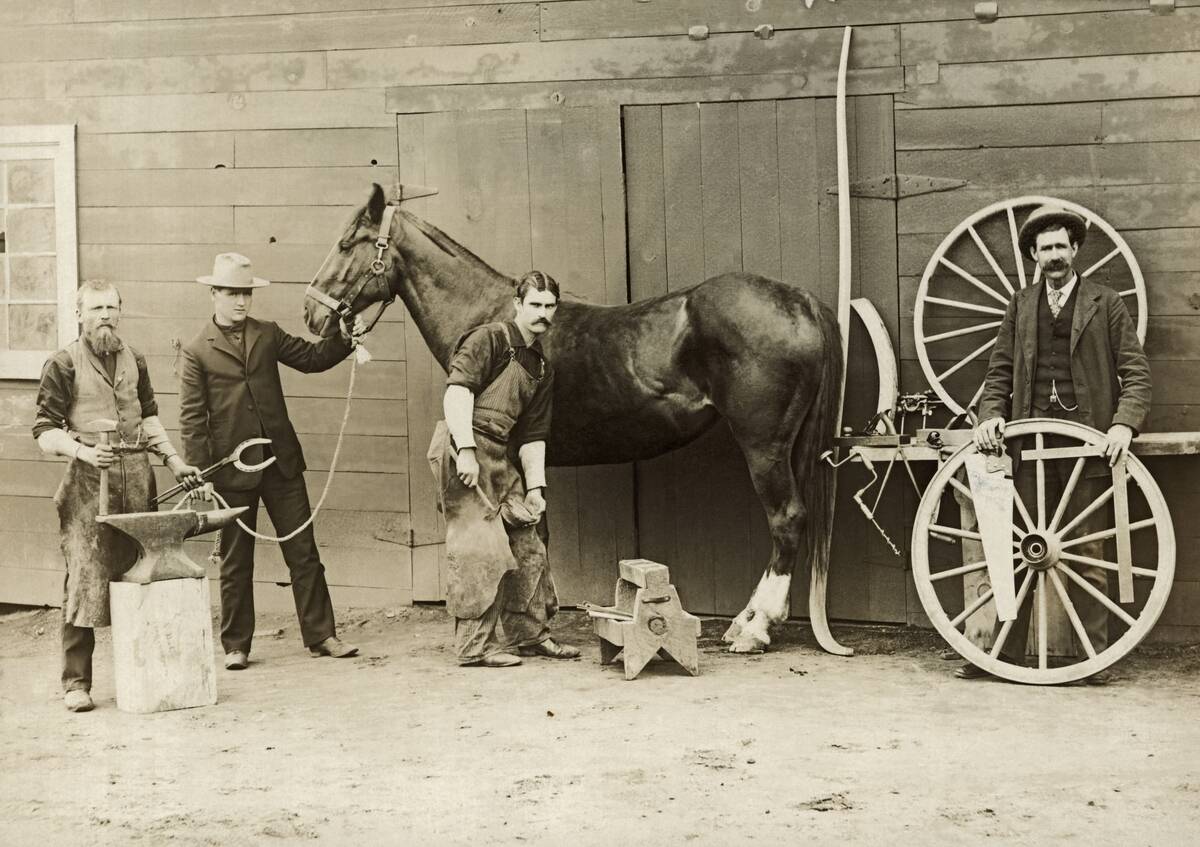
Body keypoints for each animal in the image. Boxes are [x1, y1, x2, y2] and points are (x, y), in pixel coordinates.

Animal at [305, 183, 849, 656]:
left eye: (347, 243)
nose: (312, 314)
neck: (501, 318)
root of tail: (797, 298)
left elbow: (528, 535)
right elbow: (536, 529)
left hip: (764, 446)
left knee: (786, 520)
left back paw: (754, 630)